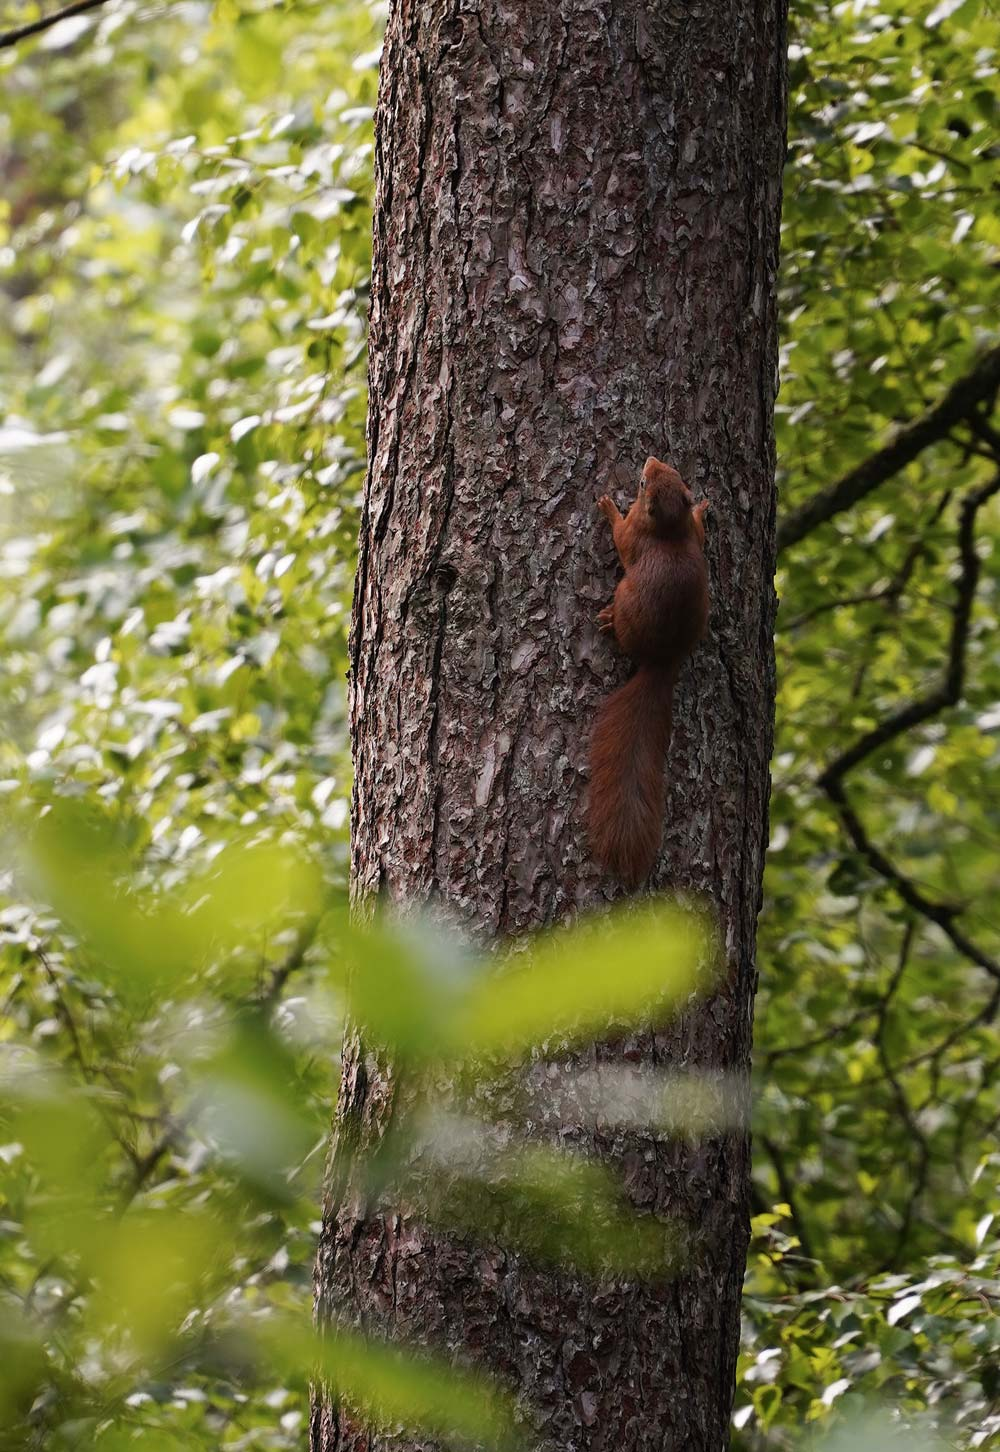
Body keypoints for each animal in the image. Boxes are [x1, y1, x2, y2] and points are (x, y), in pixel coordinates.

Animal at [588, 456, 710, 888]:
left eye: (642, 484)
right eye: (675, 473)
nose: (651, 459)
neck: (669, 531)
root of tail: (662, 661)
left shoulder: (634, 537)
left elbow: (620, 536)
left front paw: (608, 506)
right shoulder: (693, 535)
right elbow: (701, 531)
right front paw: (703, 508)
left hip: (626, 602)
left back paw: (609, 621)